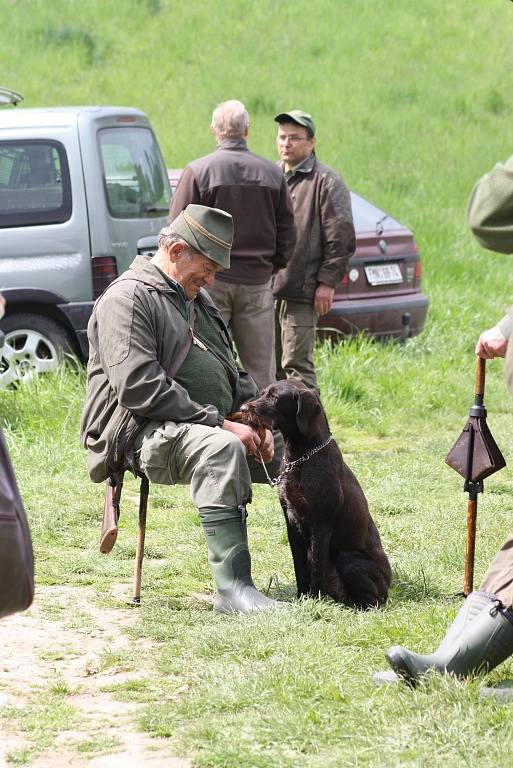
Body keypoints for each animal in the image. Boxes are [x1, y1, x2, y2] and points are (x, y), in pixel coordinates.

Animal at [242, 380, 390, 608]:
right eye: (262, 393)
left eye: (275, 397)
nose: (242, 409)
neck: (301, 456)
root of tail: (390, 585)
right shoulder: (291, 522)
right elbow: (300, 568)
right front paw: (301, 598)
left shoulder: (320, 525)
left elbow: (317, 570)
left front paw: (313, 599)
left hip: (348, 558)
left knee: (373, 601)